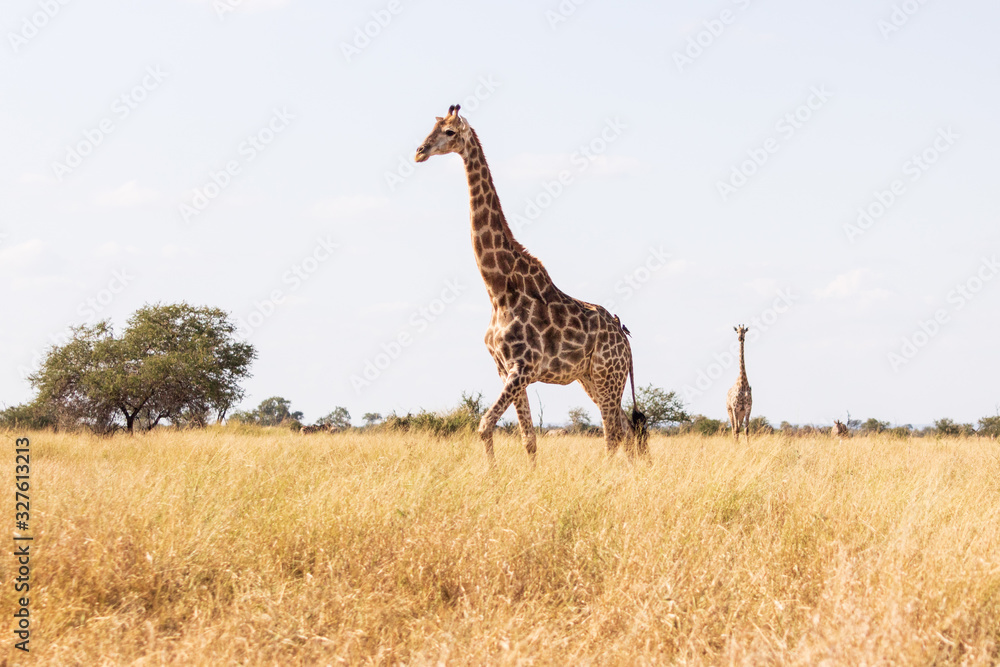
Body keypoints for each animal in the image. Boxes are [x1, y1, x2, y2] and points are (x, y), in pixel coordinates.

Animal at [415, 104, 647, 463]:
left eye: (450, 132)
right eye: (432, 128)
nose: (420, 151)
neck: (498, 290)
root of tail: (624, 335)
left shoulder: (521, 367)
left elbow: (484, 425)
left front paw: (493, 475)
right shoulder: (506, 369)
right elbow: (528, 438)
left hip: (608, 374)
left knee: (613, 431)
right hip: (591, 377)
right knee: (625, 428)